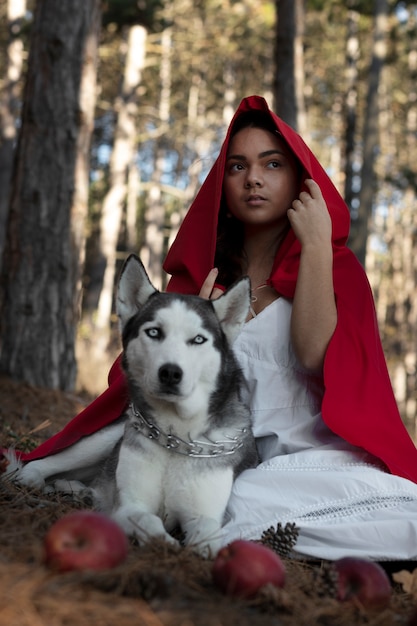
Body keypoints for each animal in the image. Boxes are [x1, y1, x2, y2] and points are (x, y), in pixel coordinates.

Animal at [6, 256, 256, 552]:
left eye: (198, 339)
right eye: (154, 332)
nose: (170, 373)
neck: (175, 437)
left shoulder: (205, 514)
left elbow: (208, 535)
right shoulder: (130, 506)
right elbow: (146, 518)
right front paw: (164, 542)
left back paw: (80, 492)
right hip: (102, 440)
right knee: (47, 462)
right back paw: (33, 479)